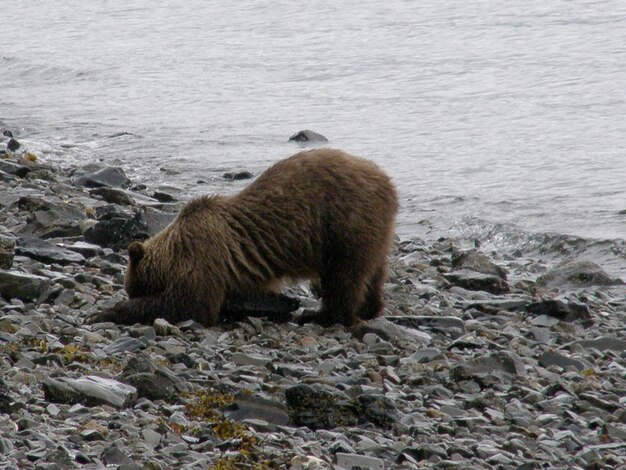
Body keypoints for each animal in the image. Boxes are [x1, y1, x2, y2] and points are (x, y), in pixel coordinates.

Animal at [89, 150, 394, 326]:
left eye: (133, 288)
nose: (129, 292)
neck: (174, 251)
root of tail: (386, 180)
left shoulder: (203, 254)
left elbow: (192, 302)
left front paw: (109, 312)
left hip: (342, 222)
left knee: (344, 276)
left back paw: (322, 315)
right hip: (372, 230)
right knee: (372, 272)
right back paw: (369, 308)